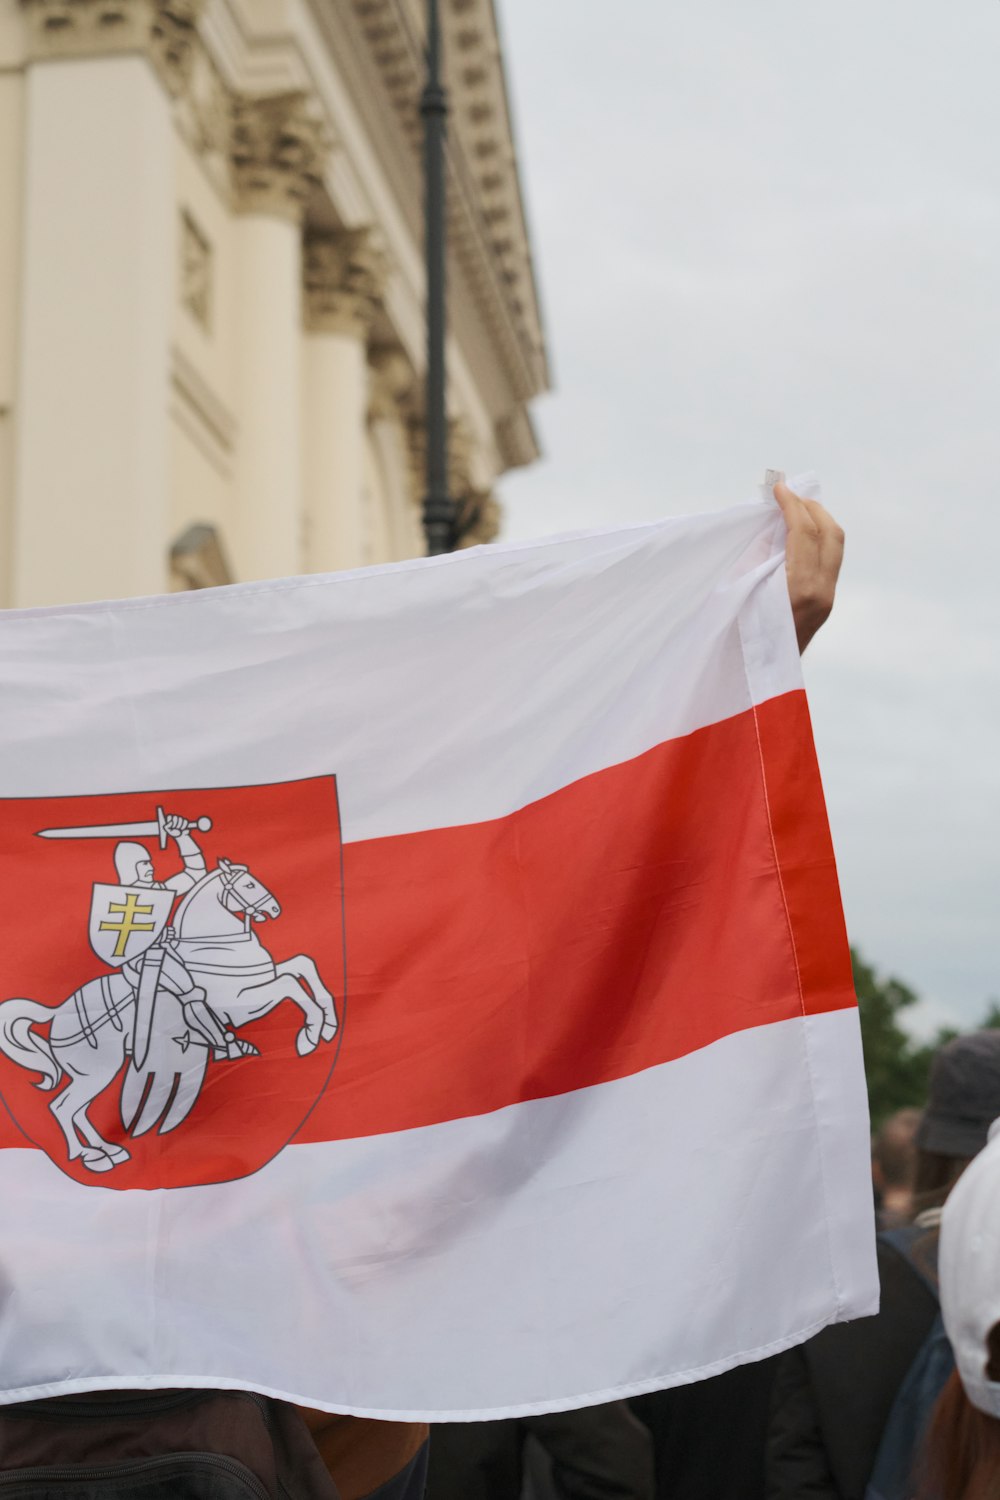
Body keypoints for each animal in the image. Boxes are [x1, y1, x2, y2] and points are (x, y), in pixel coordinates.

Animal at [0, 858, 338, 1170]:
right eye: (249, 884)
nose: (275, 909)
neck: (215, 946)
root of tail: (57, 1013)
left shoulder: (262, 978)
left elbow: (303, 964)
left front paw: (329, 1025)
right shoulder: (244, 1002)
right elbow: (290, 984)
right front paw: (309, 1035)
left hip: (93, 1073)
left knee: (78, 1110)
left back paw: (109, 1150)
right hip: (98, 1071)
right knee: (62, 1108)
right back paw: (89, 1156)